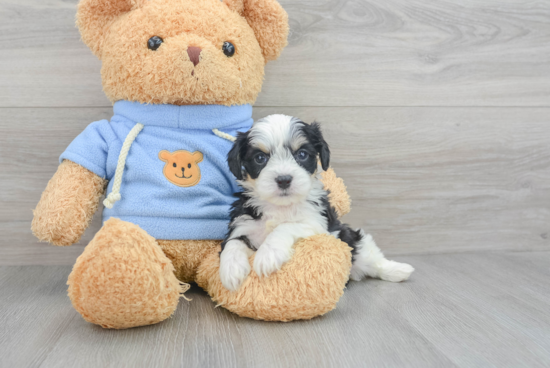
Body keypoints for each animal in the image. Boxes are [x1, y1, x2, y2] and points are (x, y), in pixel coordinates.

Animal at [220, 114, 414, 290]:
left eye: (302, 154)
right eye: (260, 158)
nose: (284, 180)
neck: (281, 207)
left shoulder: (319, 226)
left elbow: (287, 226)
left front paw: (268, 254)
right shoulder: (243, 225)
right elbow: (233, 243)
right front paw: (231, 269)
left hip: (352, 239)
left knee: (372, 258)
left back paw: (399, 270)